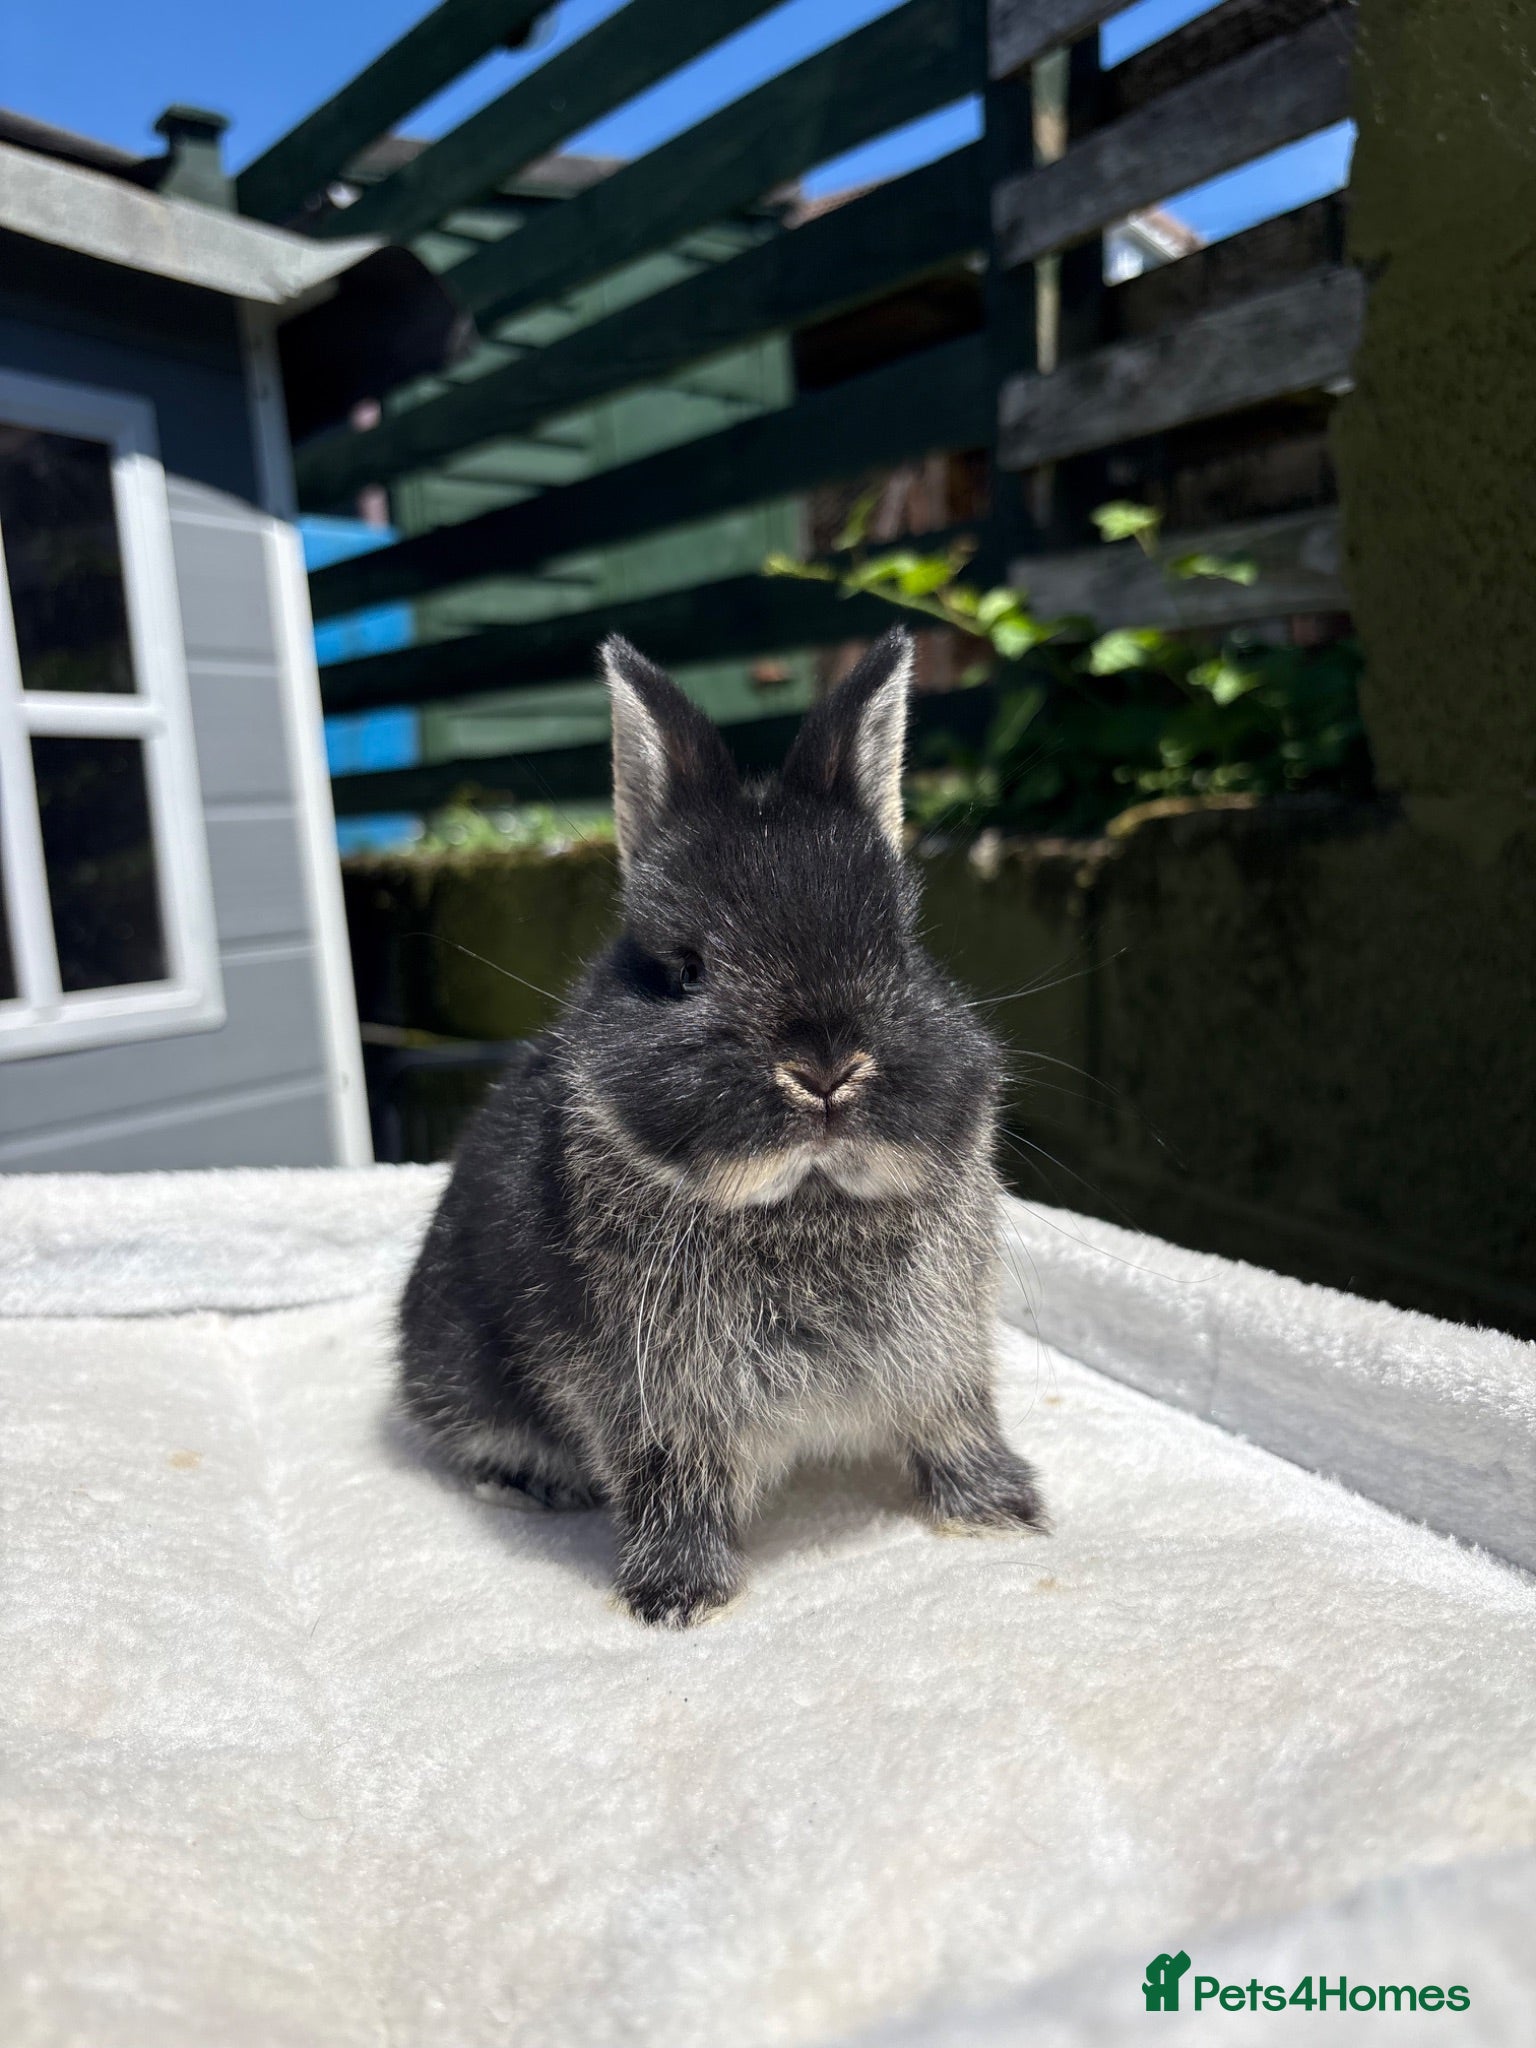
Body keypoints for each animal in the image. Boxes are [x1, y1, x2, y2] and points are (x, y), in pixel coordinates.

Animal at [398, 625, 1046, 1627]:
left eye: (901, 949)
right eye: (686, 967)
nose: (825, 1071)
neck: (803, 1208)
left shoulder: (945, 1356)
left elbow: (958, 1423)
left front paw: (1003, 1513)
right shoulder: (653, 1403)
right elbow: (672, 1485)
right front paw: (679, 1598)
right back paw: (536, 1484)